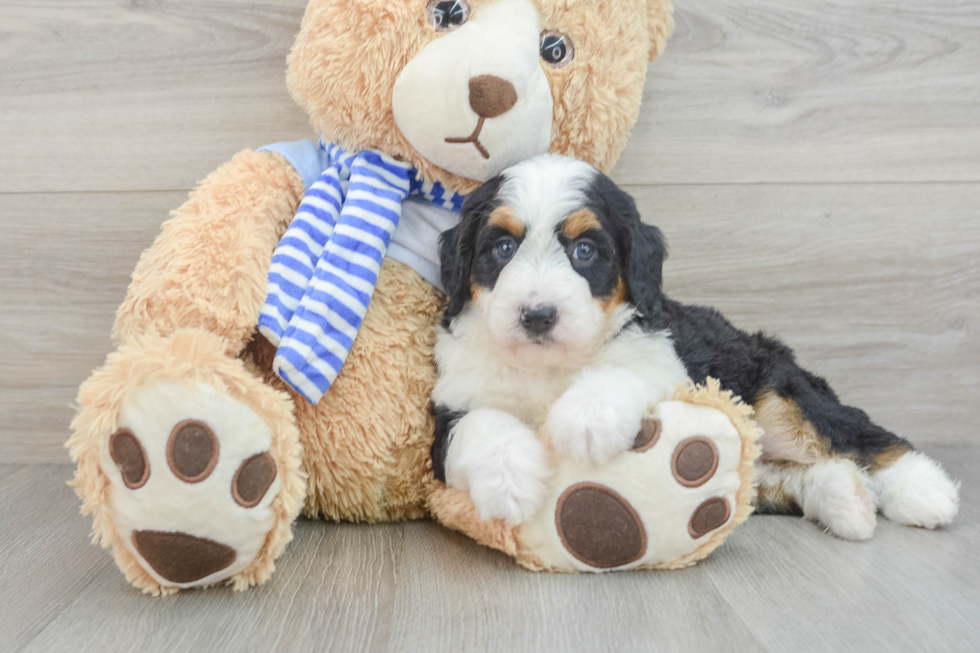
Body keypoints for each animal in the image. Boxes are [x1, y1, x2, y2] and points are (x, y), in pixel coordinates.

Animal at [432, 154, 960, 540]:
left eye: (584, 251)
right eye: (502, 248)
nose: (538, 315)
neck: (548, 367)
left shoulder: (669, 364)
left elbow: (621, 371)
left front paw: (587, 418)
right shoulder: (449, 407)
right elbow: (481, 423)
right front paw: (510, 482)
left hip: (777, 387)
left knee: (856, 435)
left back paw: (923, 490)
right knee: (789, 475)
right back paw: (847, 499)